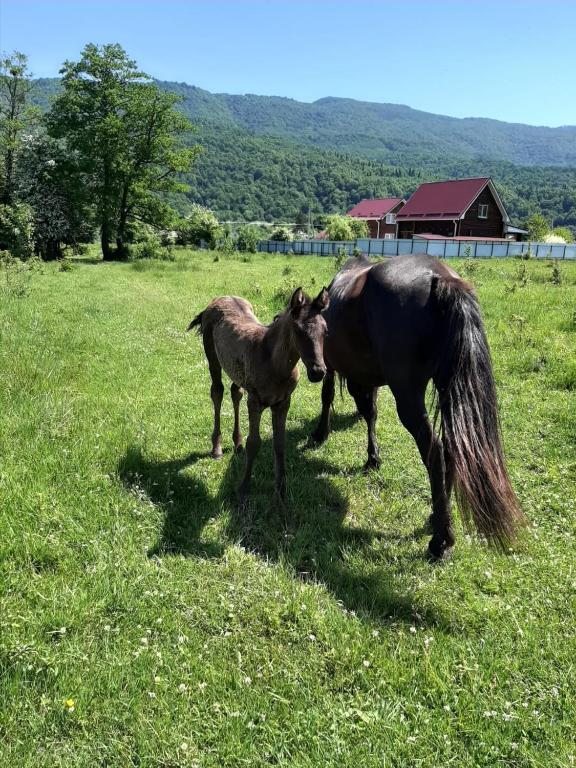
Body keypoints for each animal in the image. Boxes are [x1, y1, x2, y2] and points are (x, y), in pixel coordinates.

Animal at [312, 255, 524, 560]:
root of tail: (441, 279)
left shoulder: (332, 364)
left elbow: (328, 395)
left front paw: (320, 433)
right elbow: (371, 412)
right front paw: (372, 457)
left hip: (409, 397)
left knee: (434, 452)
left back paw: (441, 540)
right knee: (451, 449)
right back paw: (438, 516)